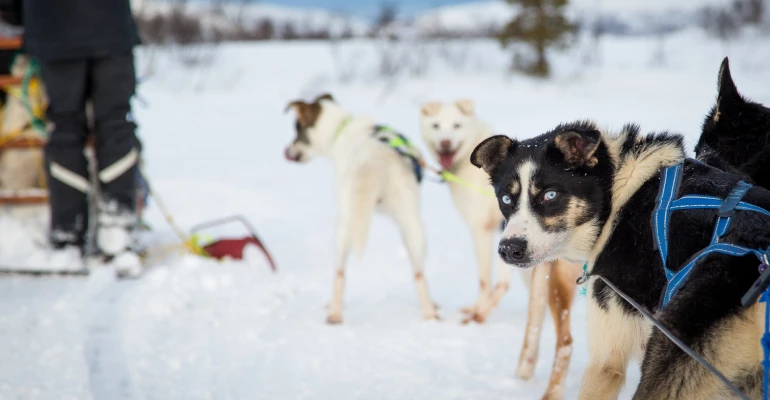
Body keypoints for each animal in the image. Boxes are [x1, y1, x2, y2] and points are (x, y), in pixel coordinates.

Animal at [282, 92, 438, 324]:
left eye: (297, 130)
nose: (287, 150)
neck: (341, 128)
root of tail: (377, 155)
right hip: (413, 226)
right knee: (419, 274)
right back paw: (430, 313)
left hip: (344, 227)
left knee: (339, 273)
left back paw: (334, 313)